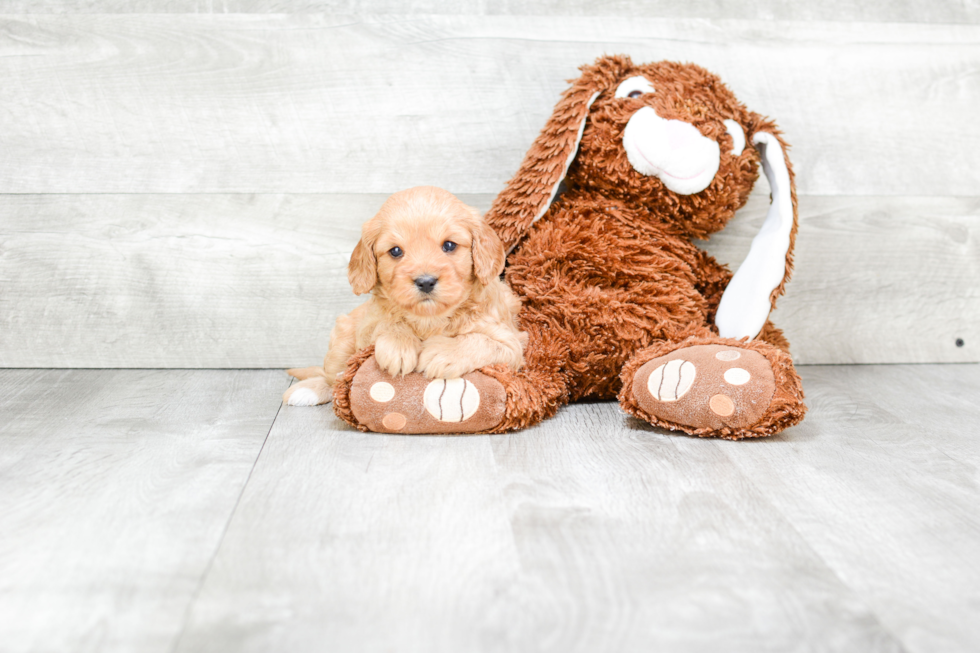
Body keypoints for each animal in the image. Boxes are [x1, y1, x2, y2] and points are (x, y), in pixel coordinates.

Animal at [284, 186, 528, 404]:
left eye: (449, 245)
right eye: (395, 251)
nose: (425, 281)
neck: (430, 319)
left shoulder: (512, 343)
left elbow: (482, 340)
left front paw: (444, 352)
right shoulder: (368, 325)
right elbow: (386, 322)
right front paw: (398, 345)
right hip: (342, 338)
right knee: (335, 378)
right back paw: (306, 390)